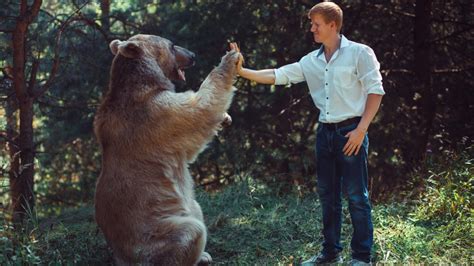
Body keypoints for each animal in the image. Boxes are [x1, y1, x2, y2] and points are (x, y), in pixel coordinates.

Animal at [93, 34, 241, 264]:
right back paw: (200, 256)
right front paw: (229, 59)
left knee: (196, 207)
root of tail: (122, 258)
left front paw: (226, 118)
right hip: (154, 236)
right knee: (190, 231)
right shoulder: (155, 113)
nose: (192, 55)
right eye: (172, 45)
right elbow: (198, 109)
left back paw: (204, 254)